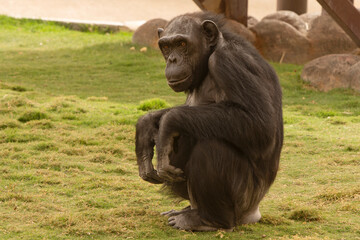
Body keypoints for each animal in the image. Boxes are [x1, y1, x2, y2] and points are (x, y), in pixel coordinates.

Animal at [134, 11, 282, 231]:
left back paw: (208, 220)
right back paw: (188, 210)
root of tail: (254, 213)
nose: (173, 59)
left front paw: (169, 121)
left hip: (244, 199)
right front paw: (146, 124)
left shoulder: (228, 61)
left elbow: (261, 125)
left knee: (210, 146)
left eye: (182, 44)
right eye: (166, 46)